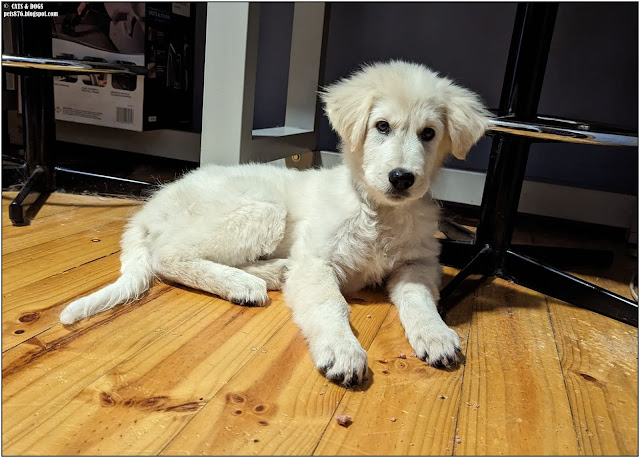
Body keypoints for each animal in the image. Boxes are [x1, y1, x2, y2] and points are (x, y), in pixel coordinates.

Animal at [61, 60, 490, 388]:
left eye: (429, 133)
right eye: (381, 126)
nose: (402, 178)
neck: (377, 212)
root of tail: (152, 205)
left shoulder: (418, 263)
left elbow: (419, 299)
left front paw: (435, 334)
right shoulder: (316, 261)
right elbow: (330, 304)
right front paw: (342, 350)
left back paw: (271, 273)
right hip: (262, 209)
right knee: (168, 256)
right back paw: (242, 283)